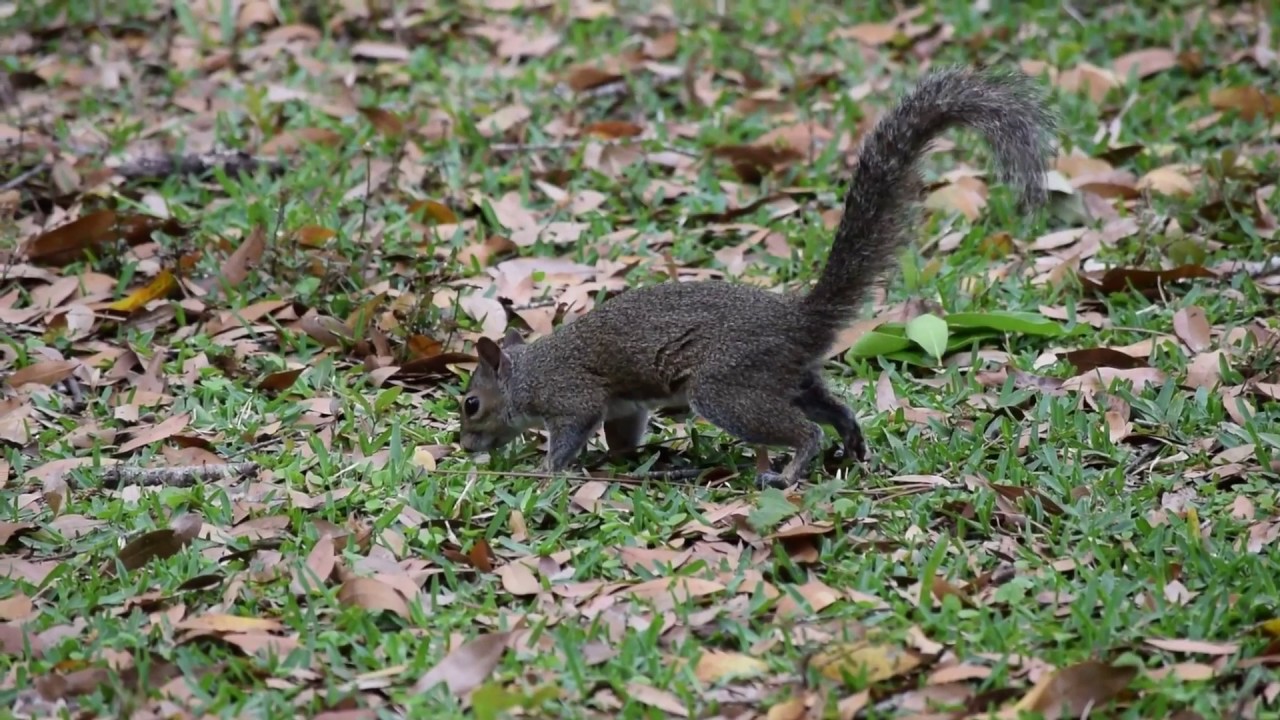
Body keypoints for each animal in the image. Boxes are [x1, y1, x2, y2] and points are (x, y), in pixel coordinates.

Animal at [456, 65, 1057, 488]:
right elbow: (624, 435)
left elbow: (570, 435)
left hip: (728, 386)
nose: (464, 446)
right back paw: (852, 442)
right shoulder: (624, 406)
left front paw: (545, 471)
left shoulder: (572, 396)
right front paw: (635, 458)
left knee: (802, 428)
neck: (526, 375)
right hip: (785, 375)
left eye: (471, 405)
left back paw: (789, 470)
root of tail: (799, 318)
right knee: (832, 407)